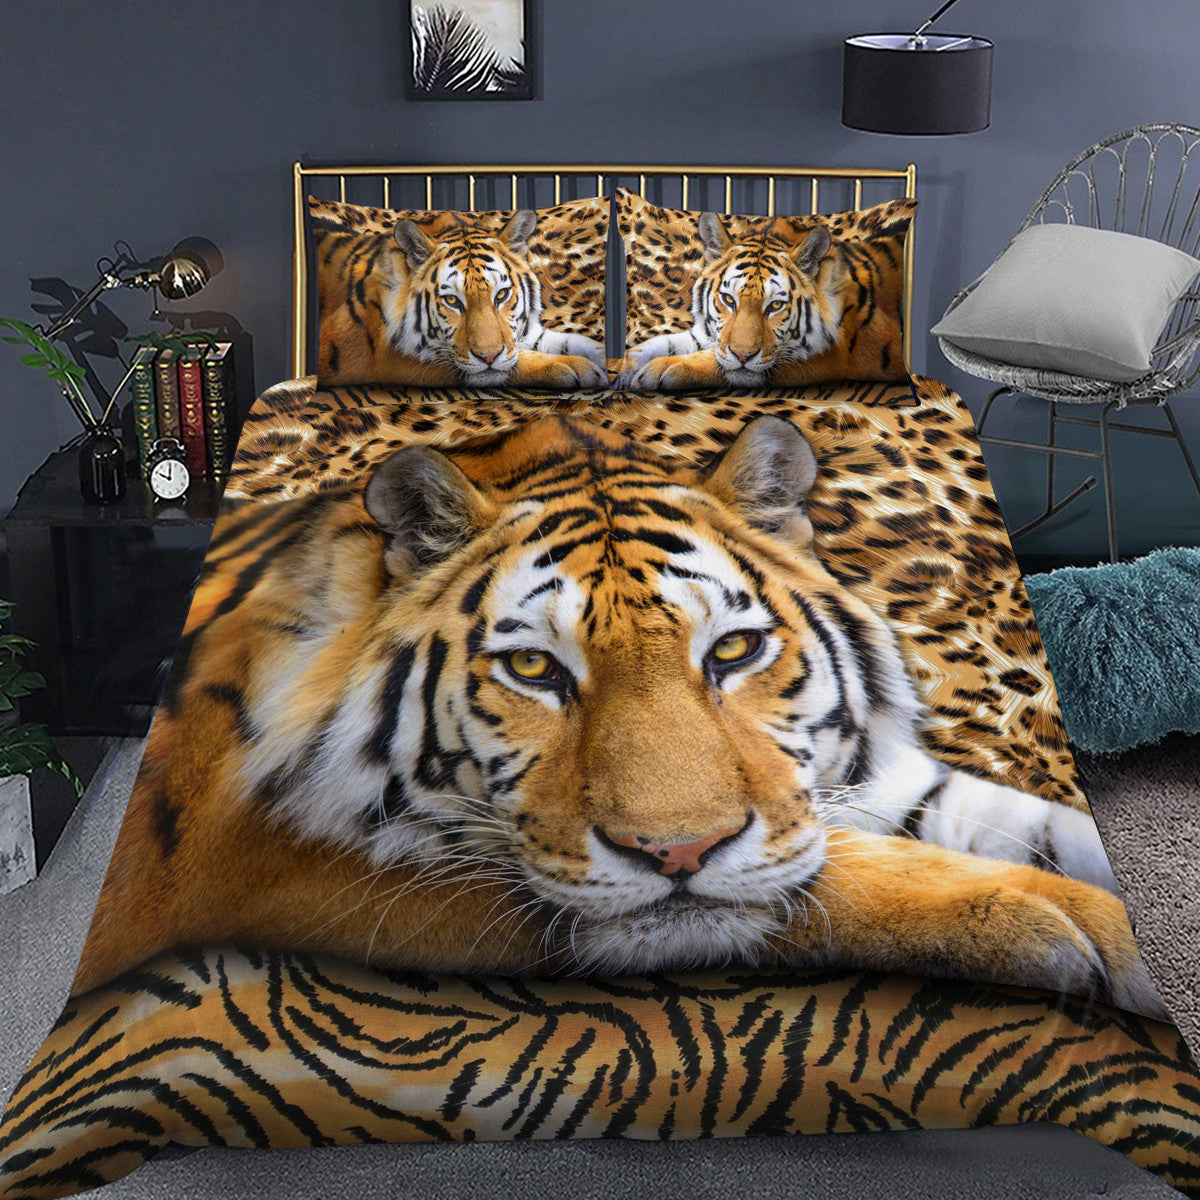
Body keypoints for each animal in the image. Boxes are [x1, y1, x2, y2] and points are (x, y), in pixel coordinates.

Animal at [73, 416, 1162, 1021]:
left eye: (731, 652)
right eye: (532, 668)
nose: (675, 854)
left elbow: (1020, 825)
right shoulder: (296, 860)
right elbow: (819, 880)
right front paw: (1062, 925)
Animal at [318, 209, 606, 387]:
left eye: (501, 294)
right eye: (453, 301)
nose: (488, 356)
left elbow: (574, 342)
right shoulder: (384, 355)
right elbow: (511, 362)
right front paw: (575, 369)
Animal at [622, 212, 903, 390]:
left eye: (775, 306)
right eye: (728, 299)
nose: (743, 355)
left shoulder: (832, 354)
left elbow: (722, 362)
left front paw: (661, 370)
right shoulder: (710, 333)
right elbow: (662, 344)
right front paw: (626, 368)